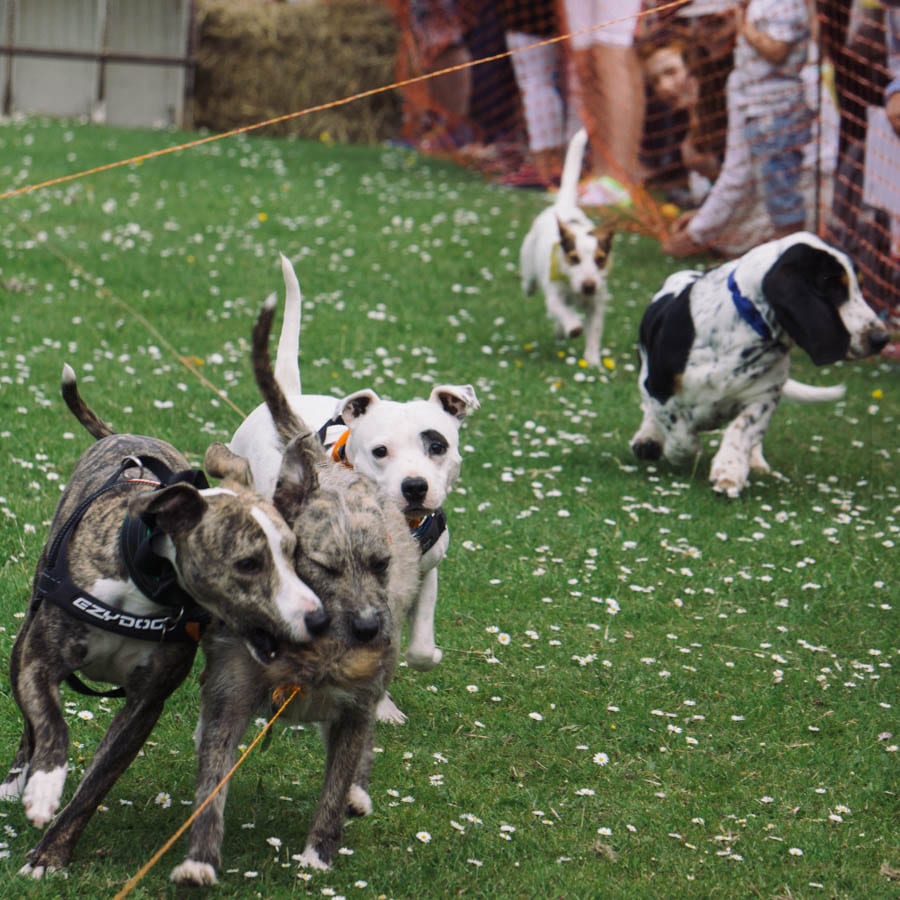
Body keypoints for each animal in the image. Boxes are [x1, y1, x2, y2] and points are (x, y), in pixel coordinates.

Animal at [229, 256, 478, 720]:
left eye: (437, 445)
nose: (414, 486)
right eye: (380, 451)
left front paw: (419, 663)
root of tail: (289, 395)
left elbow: (417, 645)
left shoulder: (425, 571)